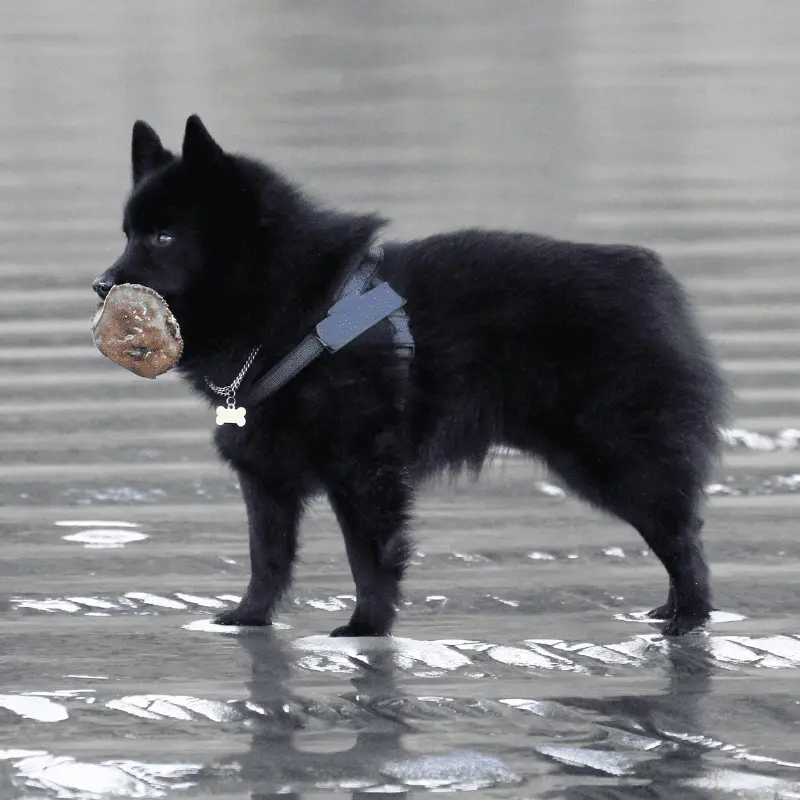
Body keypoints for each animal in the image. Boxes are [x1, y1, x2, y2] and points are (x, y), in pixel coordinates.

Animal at [92, 115, 724, 636]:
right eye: (127, 233)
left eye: (164, 236)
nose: (101, 285)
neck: (294, 308)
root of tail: (649, 278)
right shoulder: (265, 476)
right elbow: (266, 559)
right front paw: (250, 617)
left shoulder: (363, 470)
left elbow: (370, 558)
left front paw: (366, 628)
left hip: (616, 458)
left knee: (682, 538)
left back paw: (689, 617)